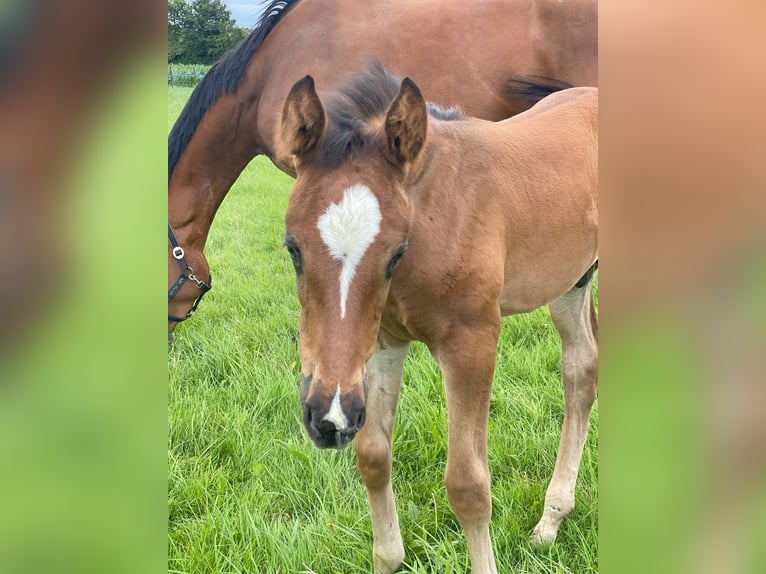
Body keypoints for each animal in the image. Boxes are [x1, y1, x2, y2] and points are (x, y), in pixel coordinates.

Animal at [280, 64, 600, 574]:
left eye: (396, 253)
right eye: (293, 247)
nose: (328, 417)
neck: (436, 210)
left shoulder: (473, 342)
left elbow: (468, 484)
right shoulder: (384, 340)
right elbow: (373, 455)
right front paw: (389, 557)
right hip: (571, 281)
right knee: (581, 369)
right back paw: (552, 520)